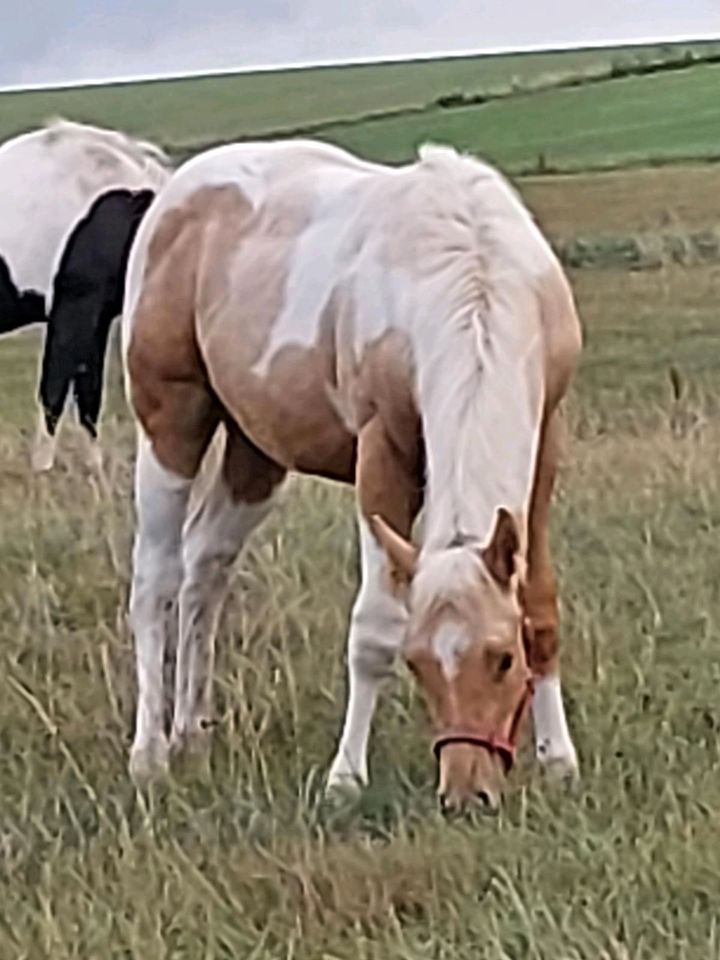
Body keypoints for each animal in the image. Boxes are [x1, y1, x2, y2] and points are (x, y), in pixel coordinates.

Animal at [0, 120, 168, 472]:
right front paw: (43, 469)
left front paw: (95, 469)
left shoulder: (97, 317)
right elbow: (54, 390)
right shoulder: (73, 308)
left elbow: (88, 392)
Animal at [124, 137, 584, 808]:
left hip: (254, 452)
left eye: (503, 656)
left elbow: (541, 603)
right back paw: (151, 752)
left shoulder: (545, 442)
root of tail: (178, 192)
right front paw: (345, 777)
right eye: (418, 662)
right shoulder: (383, 453)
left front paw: (559, 759)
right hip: (170, 427)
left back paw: (190, 733)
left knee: (204, 568)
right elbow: (373, 630)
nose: (465, 796)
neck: (473, 275)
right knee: (155, 577)